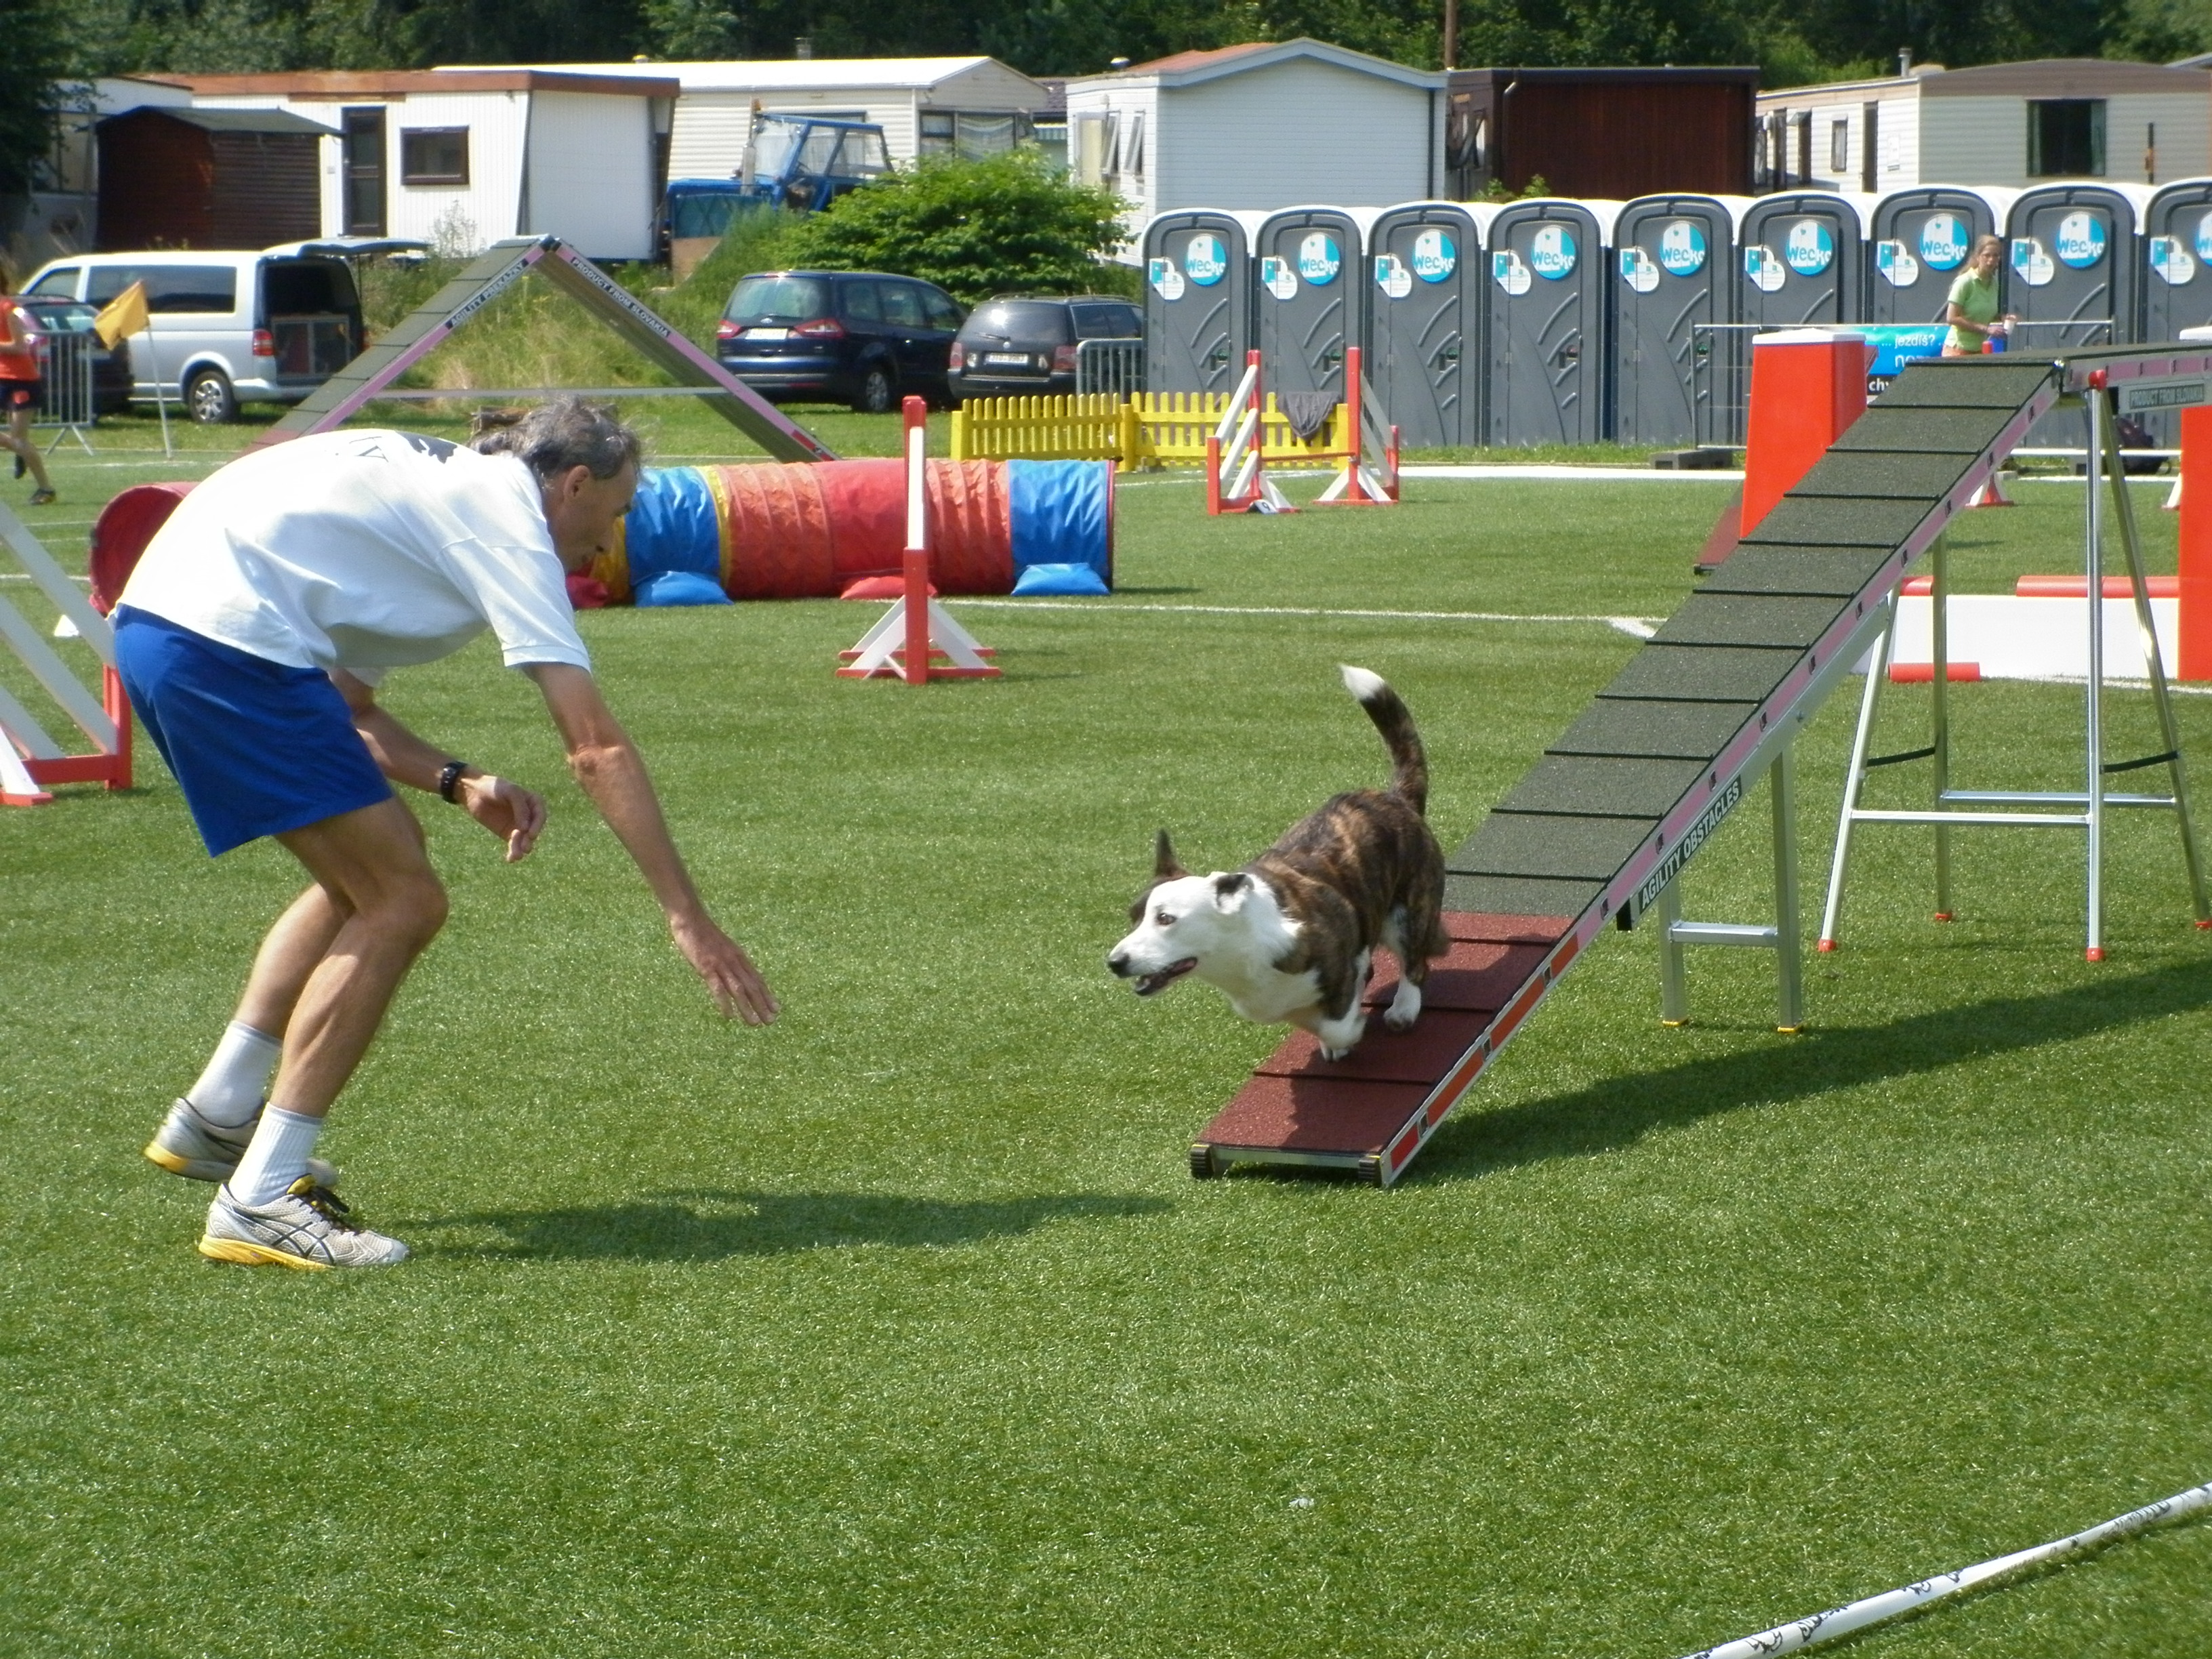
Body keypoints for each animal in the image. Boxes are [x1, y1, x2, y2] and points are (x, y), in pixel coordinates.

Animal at [1106, 668, 1451, 1057]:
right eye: (1134, 918)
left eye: (1166, 919)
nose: (1115, 963)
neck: (1240, 953)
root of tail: (1397, 798)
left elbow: (1337, 1023)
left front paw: (1348, 1033)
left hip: (1409, 912)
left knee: (1415, 962)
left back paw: (1404, 1009)